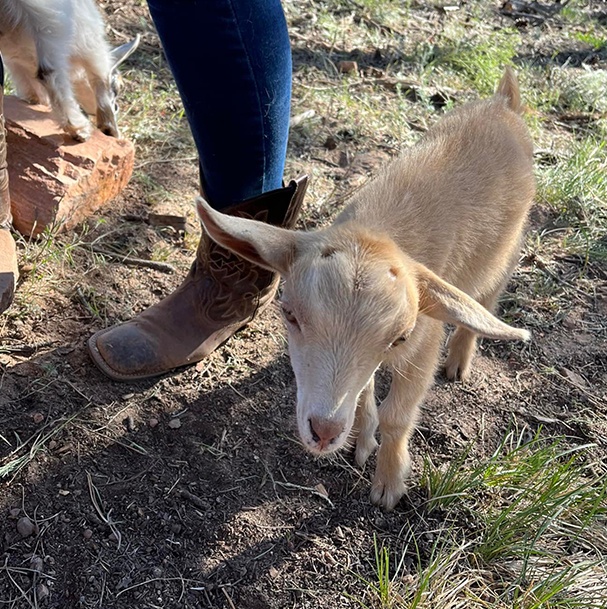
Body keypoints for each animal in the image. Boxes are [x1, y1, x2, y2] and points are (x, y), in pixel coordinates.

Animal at [0, 0, 139, 140]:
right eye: (117, 87)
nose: (116, 108)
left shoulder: (15, 58)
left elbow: (27, 85)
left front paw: (36, 102)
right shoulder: (89, 34)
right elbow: (100, 73)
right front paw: (110, 128)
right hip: (51, 20)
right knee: (49, 73)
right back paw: (78, 128)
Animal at [197, 69, 536, 510]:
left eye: (401, 337)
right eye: (289, 314)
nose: (324, 432)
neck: (378, 231)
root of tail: (503, 103)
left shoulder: (425, 342)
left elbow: (398, 416)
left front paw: (388, 485)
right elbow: (363, 390)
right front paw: (361, 437)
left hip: (508, 248)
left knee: (487, 297)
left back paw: (460, 360)